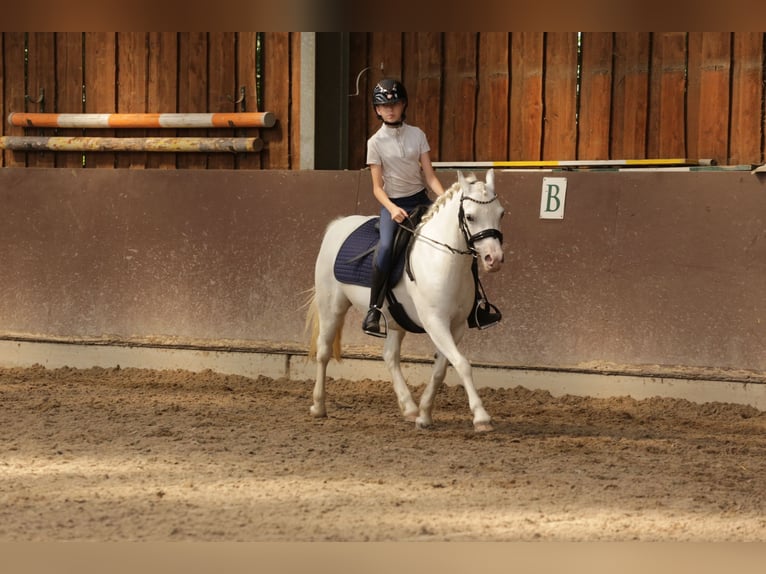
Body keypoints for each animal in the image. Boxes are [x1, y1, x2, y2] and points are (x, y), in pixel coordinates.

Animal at [306, 170, 510, 432]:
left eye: (500, 213)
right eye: (470, 216)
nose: (494, 259)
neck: (442, 260)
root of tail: (339, 225)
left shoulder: (456, 326)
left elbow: (441, 369)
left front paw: (424, 415)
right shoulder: (435, 322)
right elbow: (462, 364)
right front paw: (482, 417)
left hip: (395, 319)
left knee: (390, 356)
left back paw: (410, 408)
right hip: (331, 306)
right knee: (323, 351)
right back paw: (318, 406)